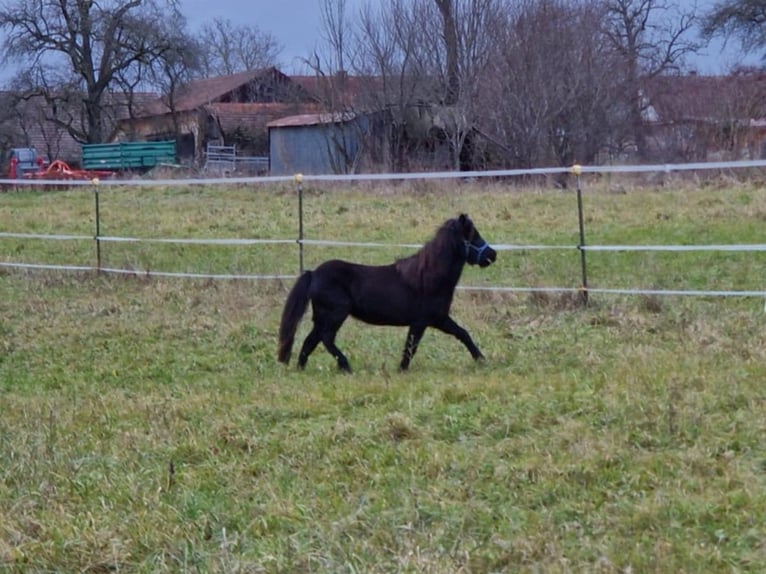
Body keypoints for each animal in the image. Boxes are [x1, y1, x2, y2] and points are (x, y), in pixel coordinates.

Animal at [277, 213, 497, 372]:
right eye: (473, 236)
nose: (492, 254)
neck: (427, 278)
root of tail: (314, 274)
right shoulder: (423, 321)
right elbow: (411, 347)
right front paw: (402, 370)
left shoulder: (439, 319)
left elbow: (462, 333)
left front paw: (481, 360)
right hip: (334, 315)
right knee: (326, 338)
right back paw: (346, 366)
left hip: (322, 318)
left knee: (310, 341)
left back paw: (301, 368)